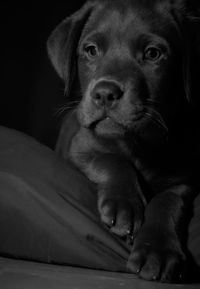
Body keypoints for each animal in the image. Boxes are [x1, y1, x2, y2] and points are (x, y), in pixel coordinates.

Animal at [47, 0, 200, 282]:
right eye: (91, 50)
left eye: (152, 54)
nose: (105, 93)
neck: (140, 144)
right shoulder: (80, 147)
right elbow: (111, 159)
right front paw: (124, 206)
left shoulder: (185, 178)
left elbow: (168, 202)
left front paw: (157, 250)